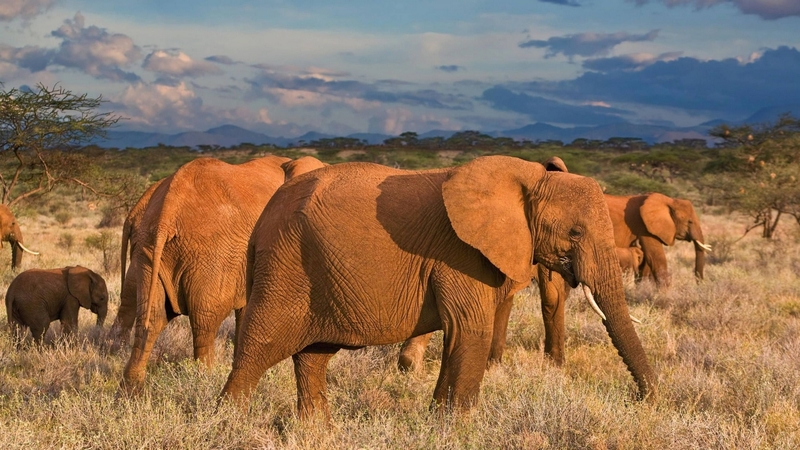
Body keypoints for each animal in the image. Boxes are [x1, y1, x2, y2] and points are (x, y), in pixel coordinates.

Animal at [119, 155, 333, 392]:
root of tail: (168, 211)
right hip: (211, 254)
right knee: (204, 320)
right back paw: (204, 380)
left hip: (148, 250)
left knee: (150, 317)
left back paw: (130, 389)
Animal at [219, 155, 656, 420]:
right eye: (575, 232)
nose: (640, 399)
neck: (528, 179)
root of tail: (263, 219)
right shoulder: (459, 254)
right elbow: (471, 330)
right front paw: (458, 428)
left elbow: (459, 336)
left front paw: (437, 421)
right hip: (286, 266)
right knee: (259, 349)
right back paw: (231, 425)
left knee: (313, 358)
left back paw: (316, 432)